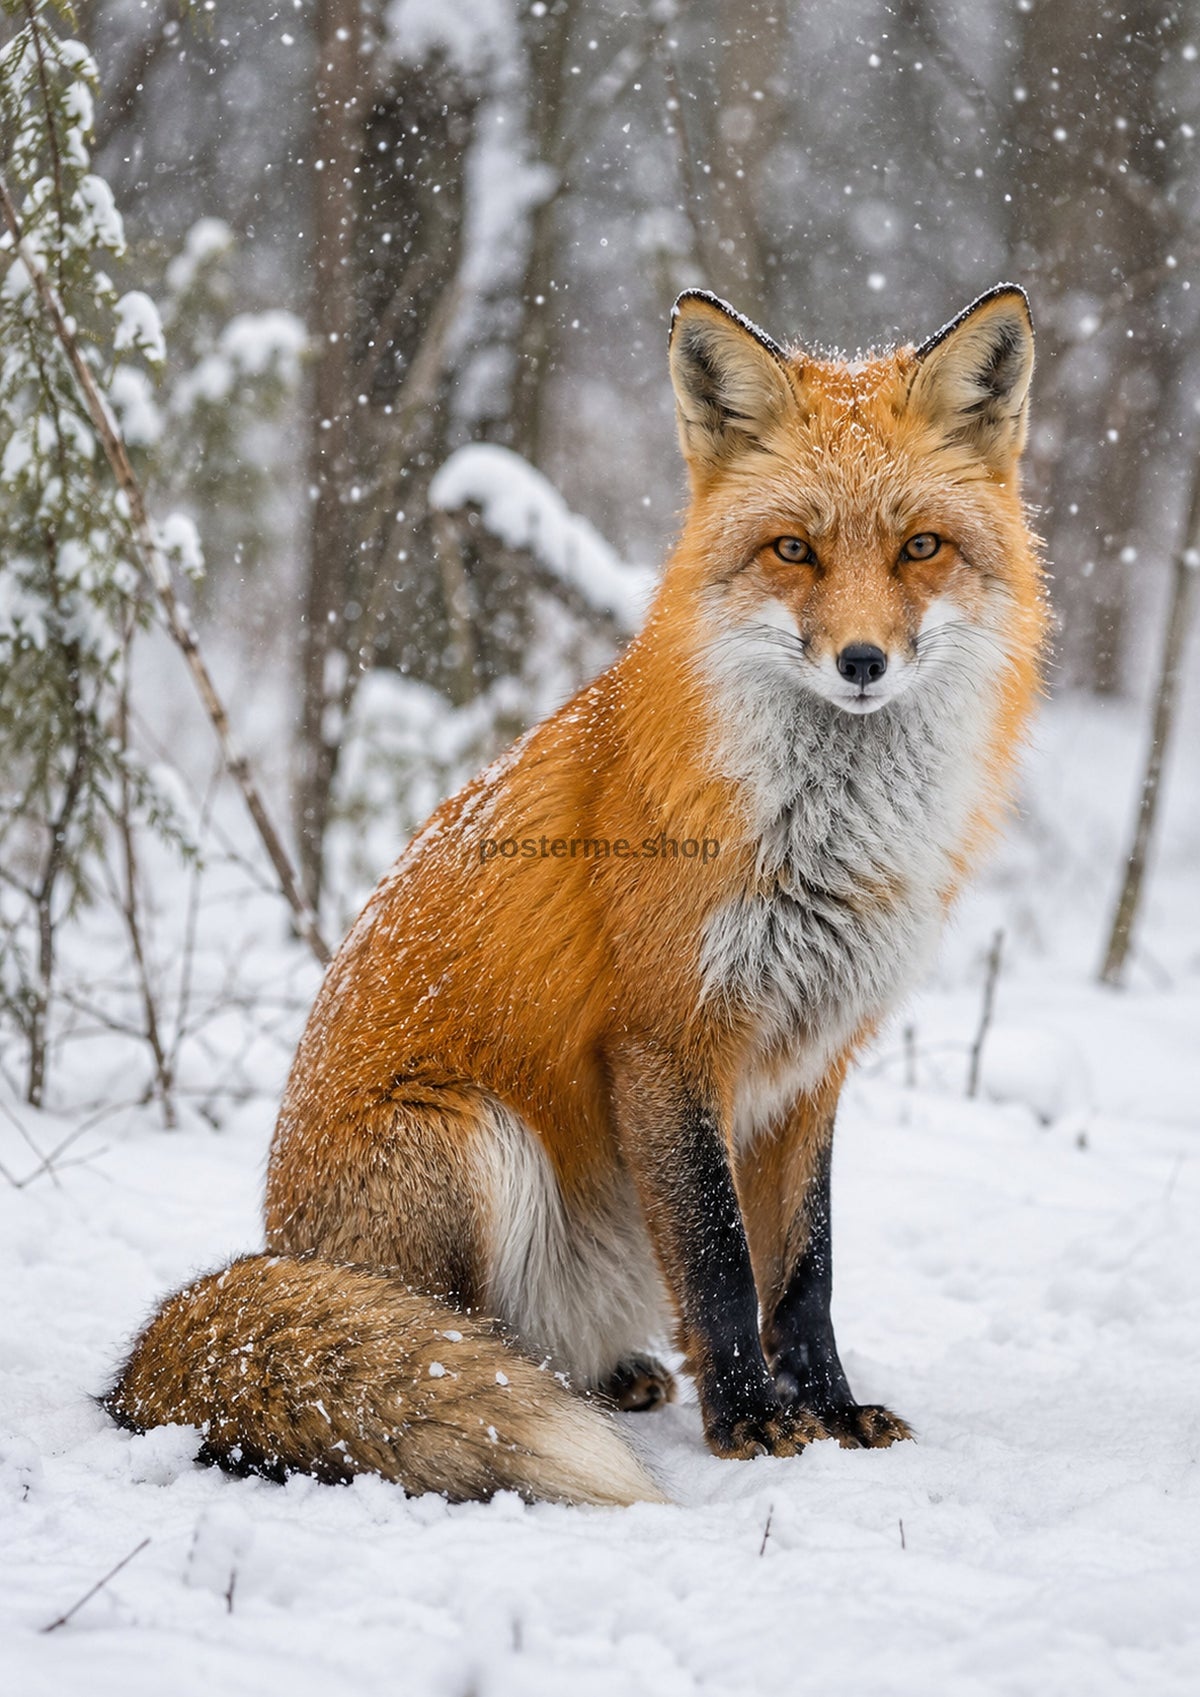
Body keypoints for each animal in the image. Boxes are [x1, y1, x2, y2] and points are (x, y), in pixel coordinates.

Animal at [106, 284, 1047, 1507]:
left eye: (921, 546)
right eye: (793, 550)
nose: (861, 662)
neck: (822, 845)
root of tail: (276, 1243)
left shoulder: (813, 1062)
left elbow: (806, 1271)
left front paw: (831, 1411)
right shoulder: (666, 1040)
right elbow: (721, 1263)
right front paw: (750, 1421)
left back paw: (612, 1378)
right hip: (471, 1140)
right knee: (437, 1342)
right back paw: (502, 1394)